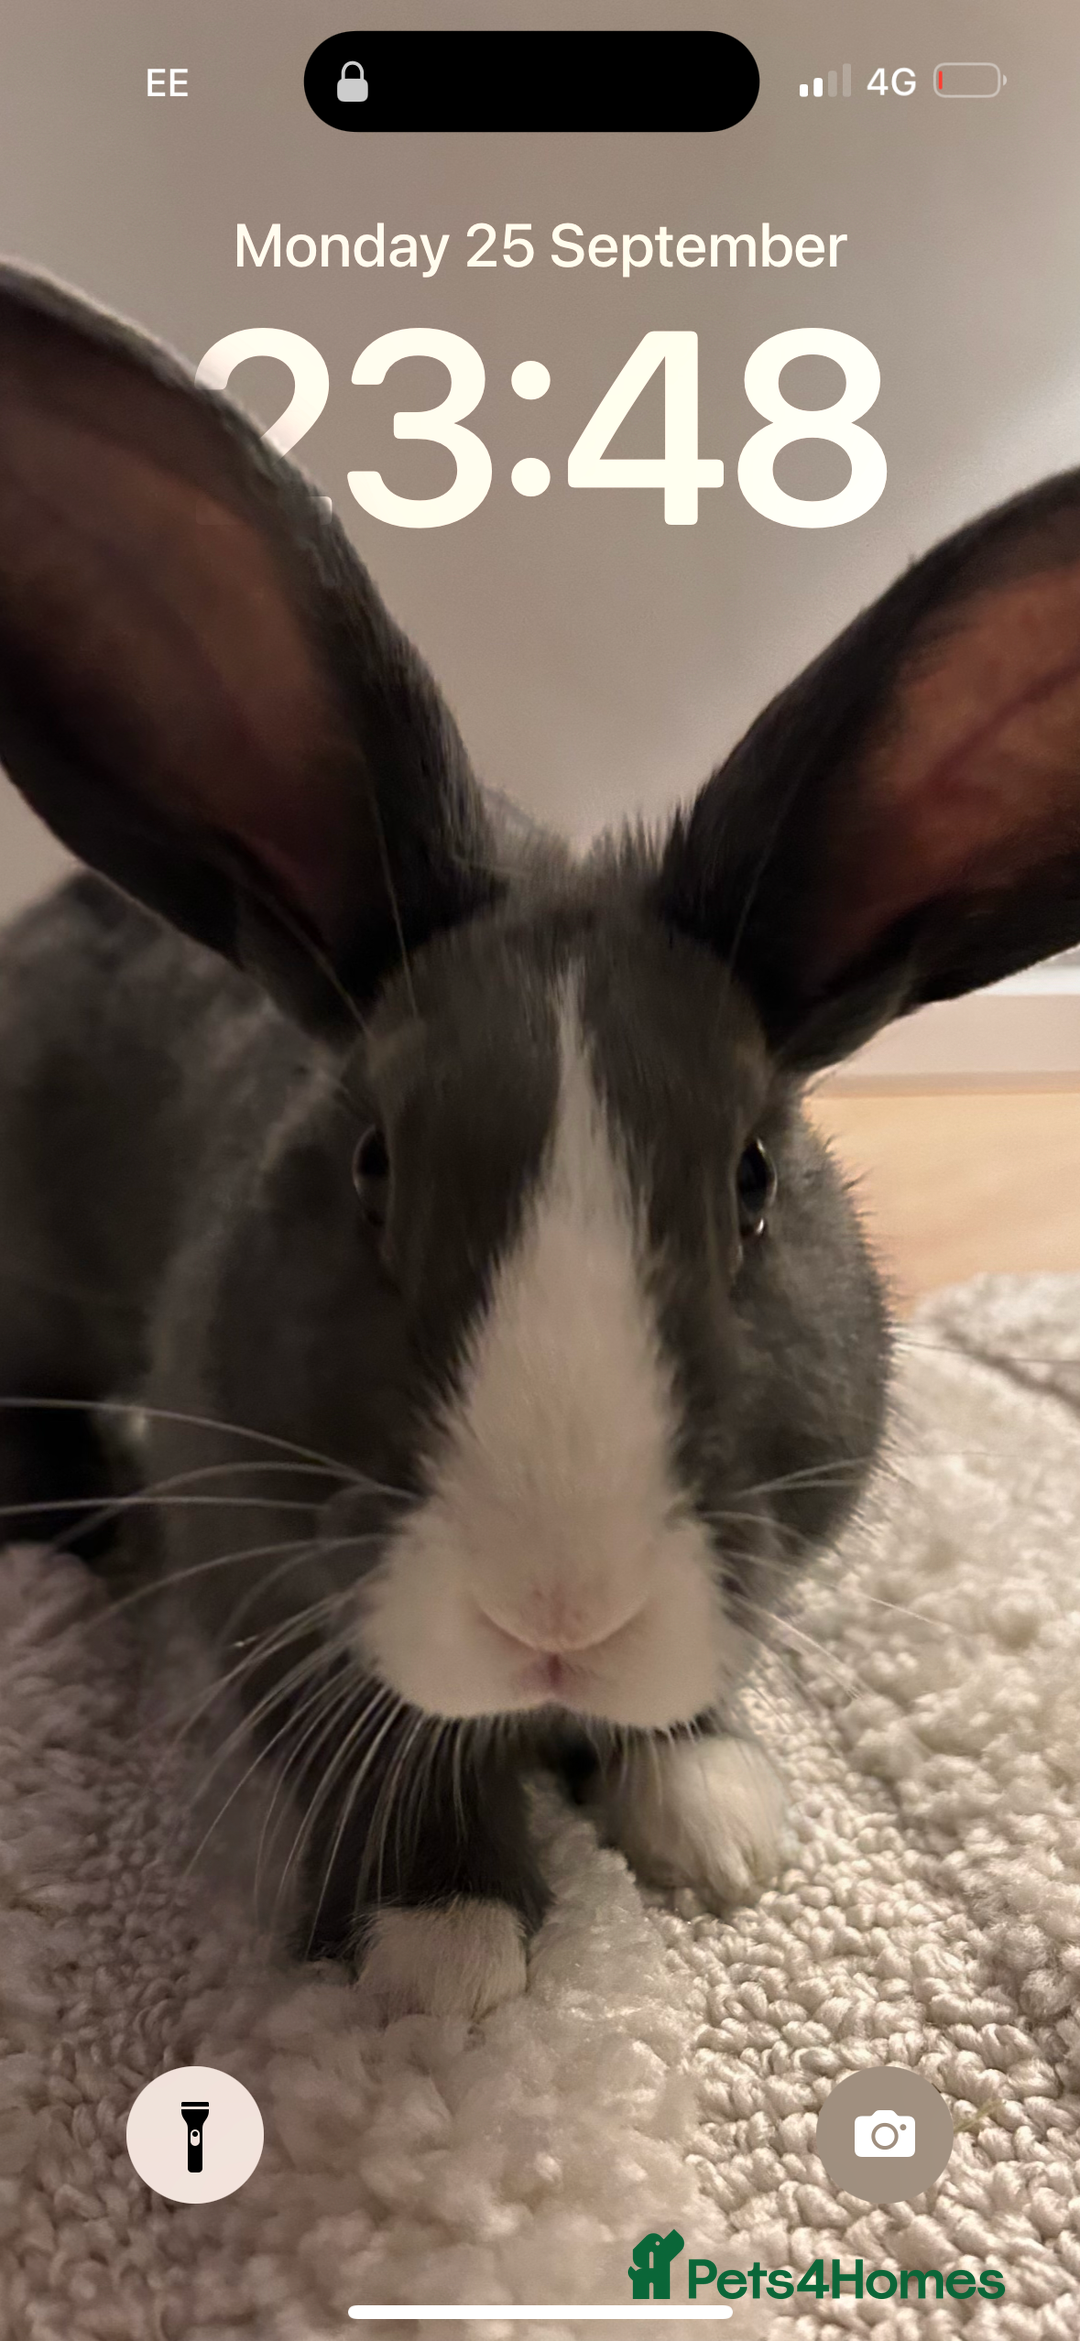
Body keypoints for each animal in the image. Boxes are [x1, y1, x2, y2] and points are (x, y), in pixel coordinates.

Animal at [2, 263, 1080, 2023]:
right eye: (371, 1162)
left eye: (754, 1178)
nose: (559, 1611)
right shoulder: (259, 1563)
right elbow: (377, 1739)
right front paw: (442, 1943)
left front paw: (714, 1817)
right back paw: (67, 1531)